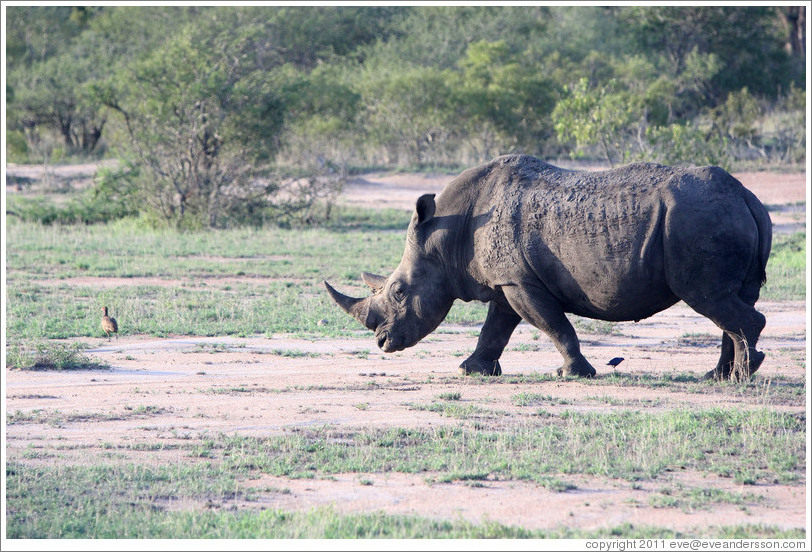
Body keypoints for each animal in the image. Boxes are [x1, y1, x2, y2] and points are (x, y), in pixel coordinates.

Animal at [325, 155, 772, 381]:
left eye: (399, 291)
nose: (382, 343)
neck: (444, 234)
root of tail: (746, 195)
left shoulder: (519, 281)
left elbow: (555, 326)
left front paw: (574, 374)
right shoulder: (507, 279)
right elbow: (496, 328)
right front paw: (473, 370)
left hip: (697, 220)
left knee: (709, 298)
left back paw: (741, 377)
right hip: (719, 214)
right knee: (728, 301)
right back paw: (717, 376)